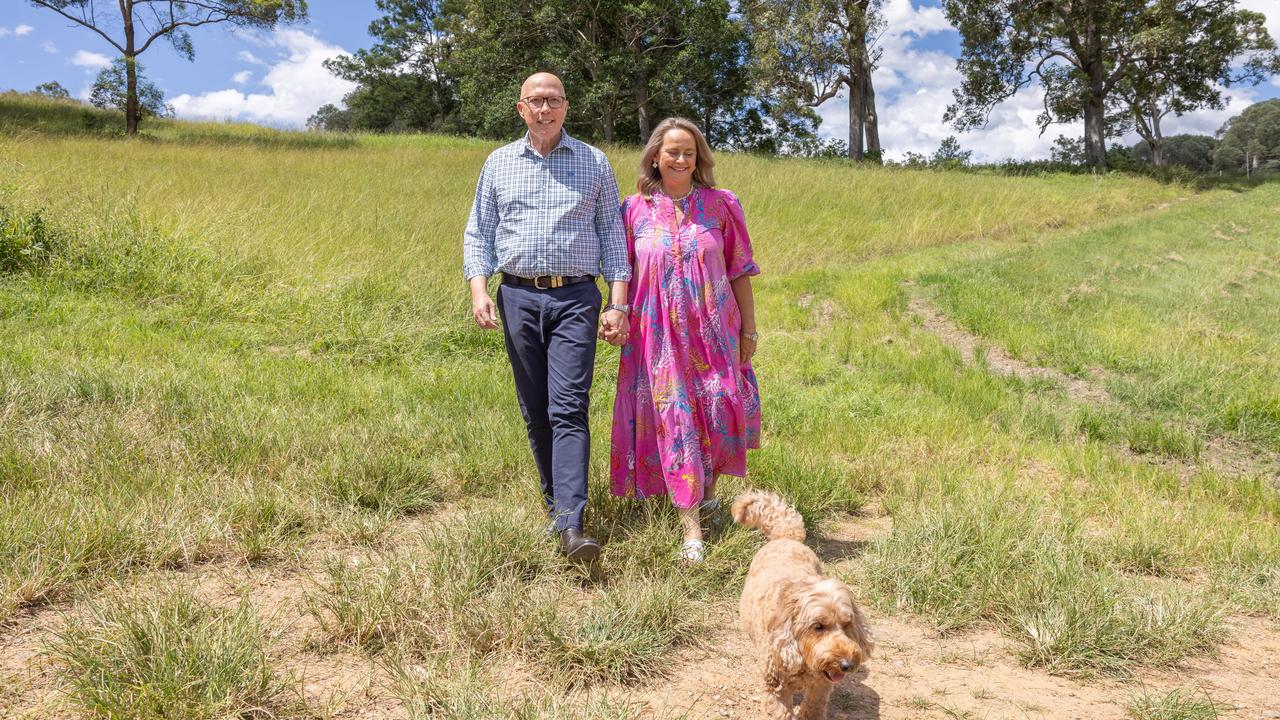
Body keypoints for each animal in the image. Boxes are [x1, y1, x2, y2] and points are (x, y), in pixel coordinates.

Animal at [737, 489, 875, 712]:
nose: (847, 664)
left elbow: (813, 708)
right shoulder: (776, 689)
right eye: (818, 626)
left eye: (847, 624)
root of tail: (787, 537)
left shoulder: (822, 685)